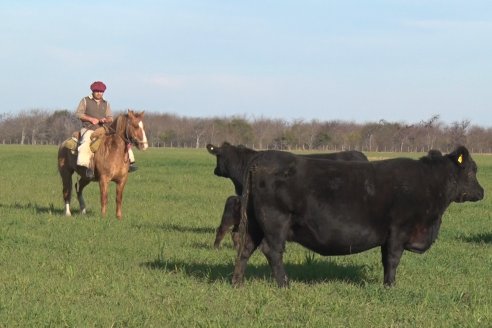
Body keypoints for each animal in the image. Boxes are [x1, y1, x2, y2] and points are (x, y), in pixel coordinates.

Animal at [233, 147, 482, 288]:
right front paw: (390, 287)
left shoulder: (389, 235)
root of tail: (263, 157)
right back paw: (284, 285)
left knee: (245, 248)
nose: (482, 192)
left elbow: (385, 260)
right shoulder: (399, 230)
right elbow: (393, 259)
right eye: (472, 170)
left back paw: (237, 283)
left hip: (255, 222)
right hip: (275, 221)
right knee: (272, 251)